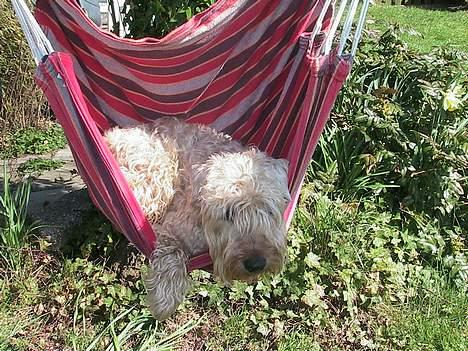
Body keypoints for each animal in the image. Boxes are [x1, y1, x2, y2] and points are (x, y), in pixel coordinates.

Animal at [104, 119, 290, 322]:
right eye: (228, 213)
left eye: (268, 210)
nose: (256, 263)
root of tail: (112, 135)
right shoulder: (171, 227)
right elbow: (172, 250)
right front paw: (164, 300)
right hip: (154, 177)